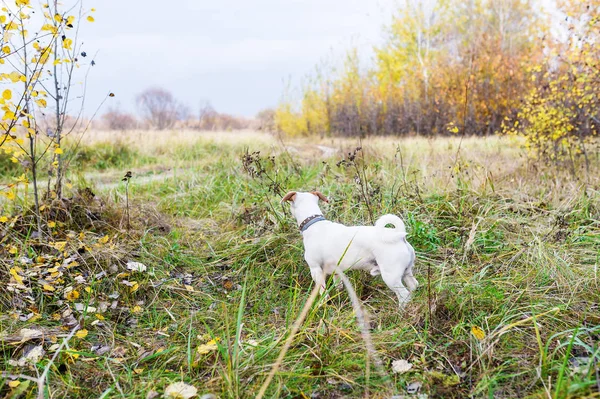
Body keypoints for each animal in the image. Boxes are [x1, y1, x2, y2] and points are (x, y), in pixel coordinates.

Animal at [282, 192, 418, 308]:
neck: (313, 222)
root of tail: (400, 237)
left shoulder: (316, 270)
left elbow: (322, 291)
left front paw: (322, 305)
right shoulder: (336, 270)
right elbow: (338, 285)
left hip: (391, 277)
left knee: (404, 295)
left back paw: (400, 312)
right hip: (406, 272)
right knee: (413, 285)